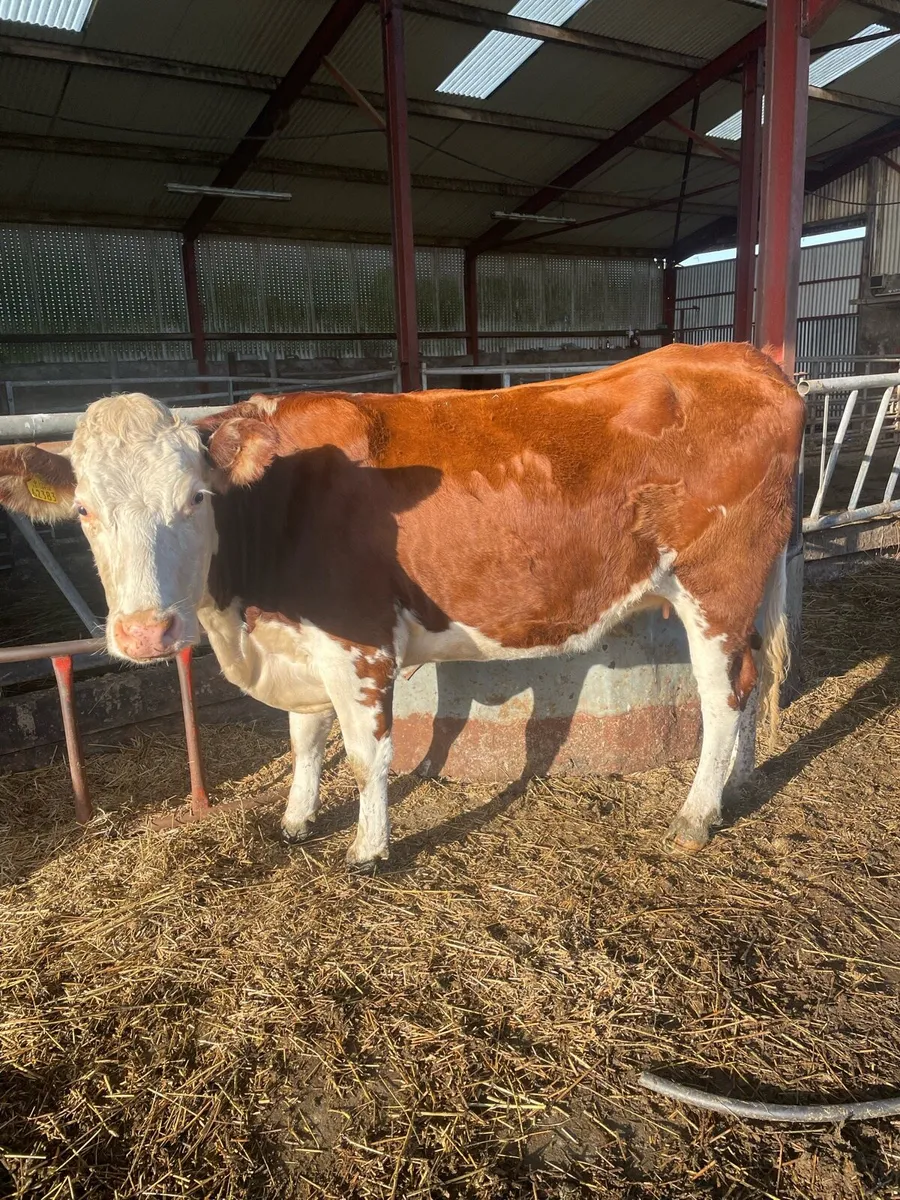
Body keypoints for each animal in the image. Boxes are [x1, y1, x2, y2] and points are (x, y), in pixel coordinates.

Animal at [0, 342, 805, 869]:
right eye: (83, 510)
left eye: (196, 498)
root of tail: (742, 358)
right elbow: (304, 740)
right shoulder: (302, 643)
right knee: (751, 680)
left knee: (722, 695)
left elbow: (365, 755)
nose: (145, 631)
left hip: (716, 582)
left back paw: (696, 814)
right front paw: (295, 820)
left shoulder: (358, 644)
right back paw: (736, 784)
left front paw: (368, 847)